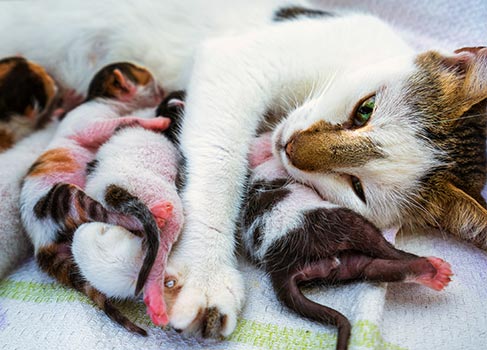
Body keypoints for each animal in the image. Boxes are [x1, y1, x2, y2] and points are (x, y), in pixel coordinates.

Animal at [20, 61, 171, 334]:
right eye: (150, 81)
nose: (164, 88)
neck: (98, 98)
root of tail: (40, 243)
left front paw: (67, 100)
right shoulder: (90, 118)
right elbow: (115, 123)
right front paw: (155, 121)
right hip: (63, 200)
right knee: (105, 213)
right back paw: (155, 214)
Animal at [241, 133, 454, 350]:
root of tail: (280, 266)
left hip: (345, 264)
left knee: (373, 268)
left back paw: (429, 276)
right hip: (336, 224)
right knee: (380, 246)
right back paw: (429, 265)